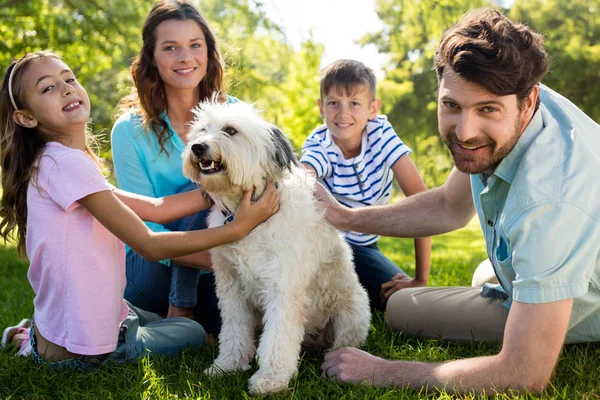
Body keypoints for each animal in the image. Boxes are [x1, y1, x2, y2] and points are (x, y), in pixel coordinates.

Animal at [183, 101, 370, 396]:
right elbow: (234, 330)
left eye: (230, 130)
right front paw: (228, 366)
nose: (198, 147)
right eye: (201, 130)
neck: (246, 214)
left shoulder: (283, 288)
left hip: (354, 311)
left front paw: (271, 380)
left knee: (342, 342)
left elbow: (278, 338)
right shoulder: (231, 287)